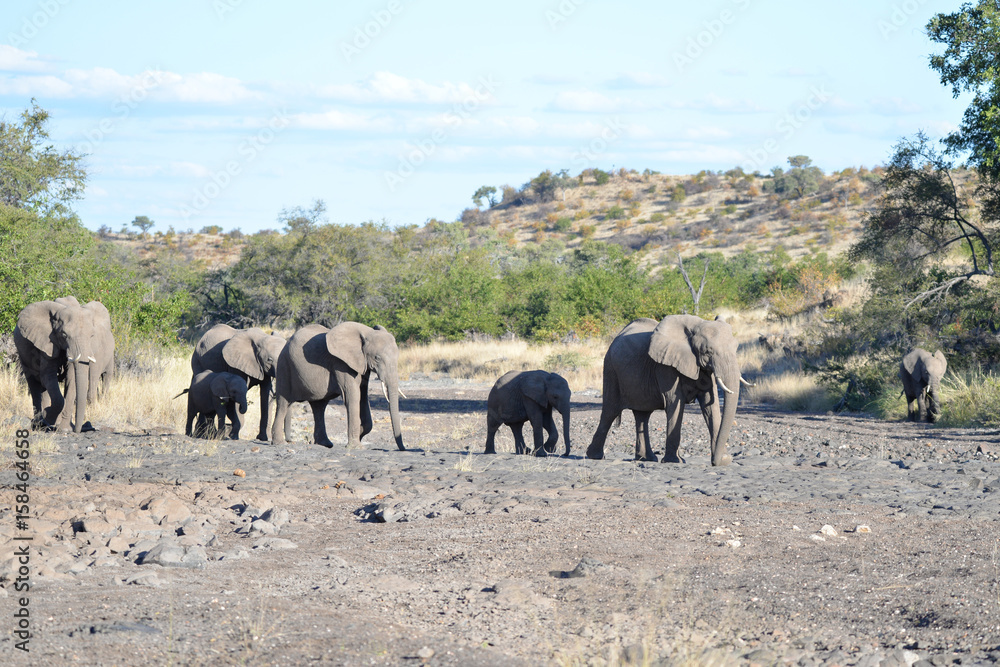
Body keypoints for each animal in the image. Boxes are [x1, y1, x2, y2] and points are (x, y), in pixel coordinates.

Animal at [13, 297, 115, 433]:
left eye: (92, 336)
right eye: (64, 335)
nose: (78, 429)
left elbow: (71, 379)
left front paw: (64, 429)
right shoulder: (46, 343)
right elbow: (47, 377)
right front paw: (48, 416)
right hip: (22, 354)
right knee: (34, 383)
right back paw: (39, 423)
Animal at [271, 322, 404, 450]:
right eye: (377, 358)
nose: (403, 448)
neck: (367, 331)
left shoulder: (362, 364)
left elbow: (363, 397)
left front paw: (360, 432)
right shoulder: (341, 364)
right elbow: (353, 396)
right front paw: (356, 447)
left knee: (319, 406)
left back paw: (325, 444)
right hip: (284, 366)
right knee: (283, 403)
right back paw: (279, 443)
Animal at [586, 315, 745, 466]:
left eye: (736, 347)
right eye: (707, 351)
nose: (715, 462)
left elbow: (711, 407)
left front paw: (724, 460)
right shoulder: (665, 366)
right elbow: (675, 402)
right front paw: (675, 461)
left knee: (642, 416)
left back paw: (646, 459)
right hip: (611, 370)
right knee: (610, 411)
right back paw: (594, 456)